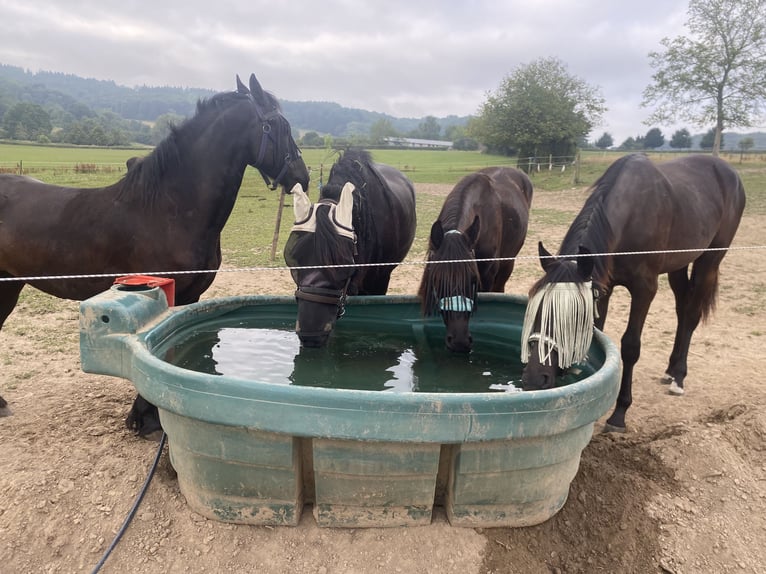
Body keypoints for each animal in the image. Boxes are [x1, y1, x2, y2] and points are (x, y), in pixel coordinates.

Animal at [0, 73, 310, 434]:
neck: (168, 209)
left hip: (9, 285)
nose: (301, 176)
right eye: (279, 126)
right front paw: (143, 419)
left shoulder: (188, 297)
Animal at [520, 153, 746, 432]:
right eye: (537, 309)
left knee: (692, 313)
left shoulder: (644, 289)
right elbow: (598, 335)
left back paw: (679, 378)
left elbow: (630, 347)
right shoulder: (602, 287)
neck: (630, 215)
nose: (534, 378)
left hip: (710, 259)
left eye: (570, 318)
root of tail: (729, 171)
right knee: (682, 310)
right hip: (678, 264)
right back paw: (671, 369)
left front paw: (619, 413)